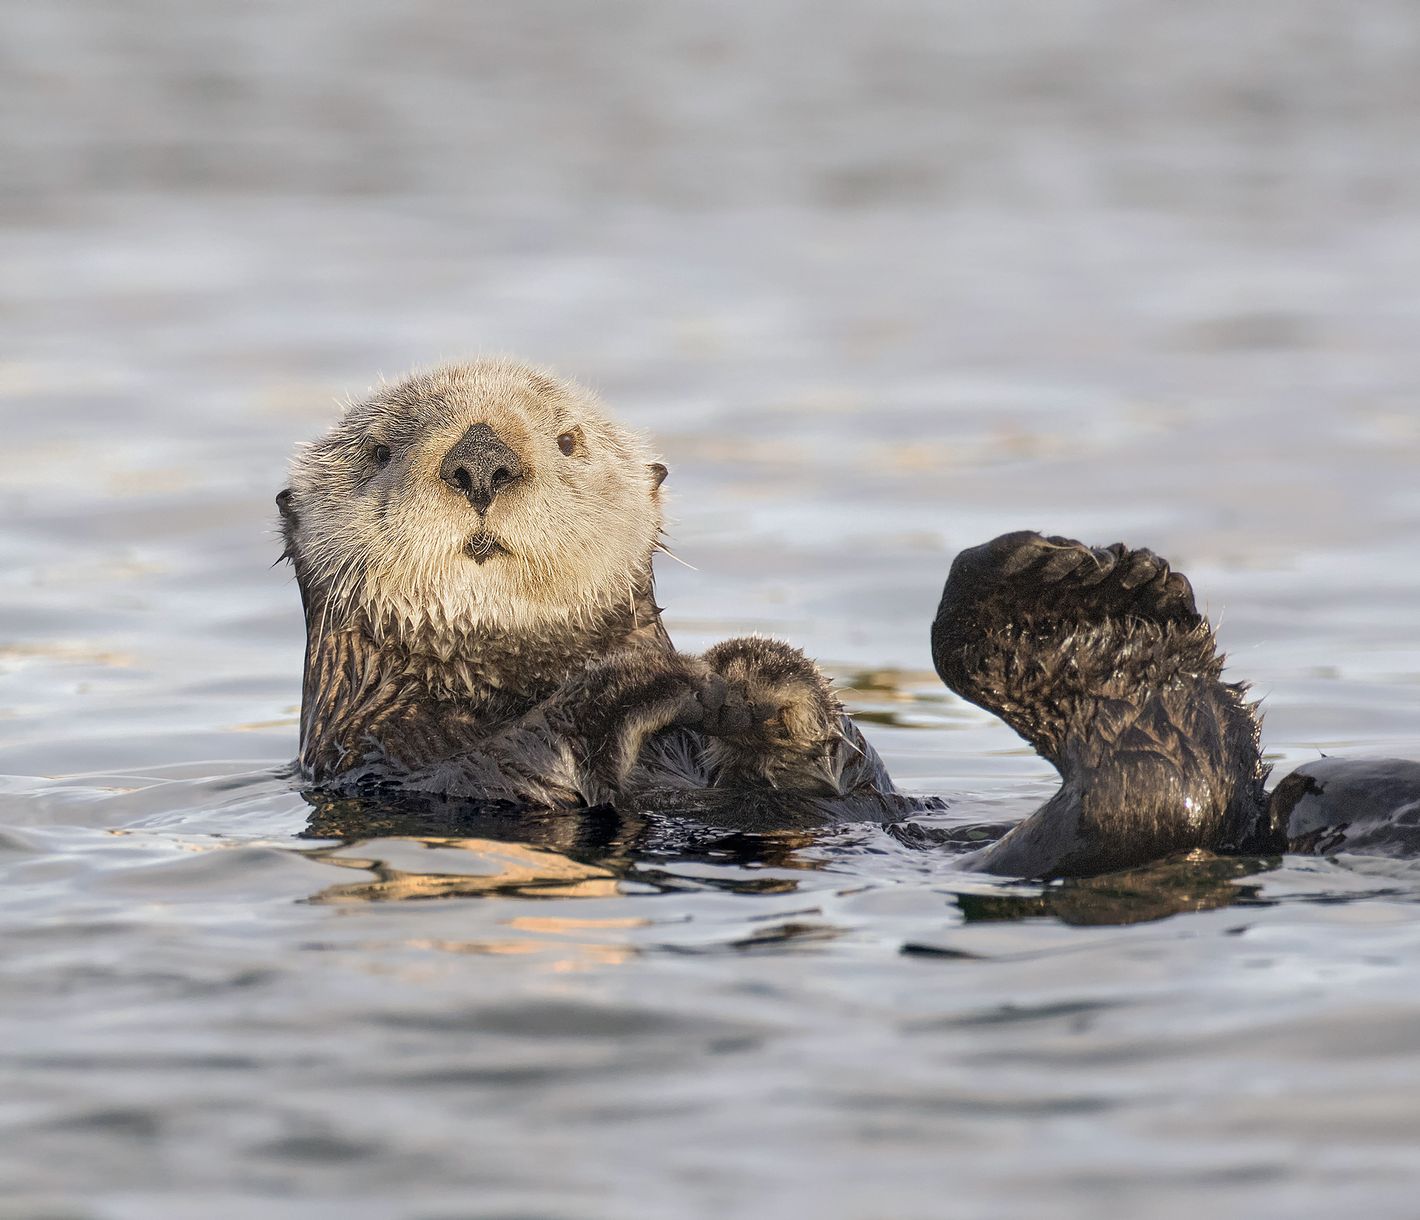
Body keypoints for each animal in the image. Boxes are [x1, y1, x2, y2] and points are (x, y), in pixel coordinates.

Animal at [278, 359, 1420, 879]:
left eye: (566, 441)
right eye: (381, 448)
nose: (481, 461)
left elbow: (834, 758)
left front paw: (761, 679)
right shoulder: (388, 763)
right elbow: (511, 764)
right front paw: (653, 680)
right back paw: (1081, 615)